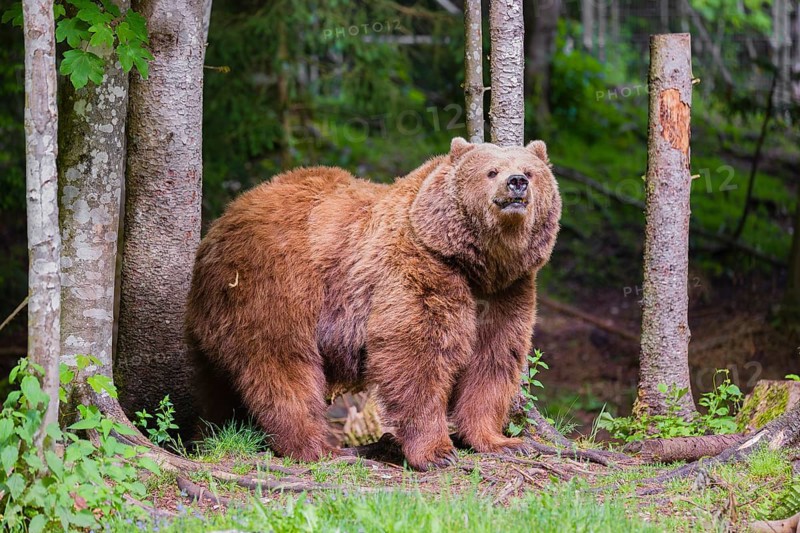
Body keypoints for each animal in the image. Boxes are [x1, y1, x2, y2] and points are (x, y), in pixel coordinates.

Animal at [185, 137, 562, 470]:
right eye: (491, 171)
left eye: (530, 172)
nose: (516, 183)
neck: (475, 265)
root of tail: (223, 219)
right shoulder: (418, 269)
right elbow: (417, 355)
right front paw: (436, 452)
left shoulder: (506, 293)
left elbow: (493, 361)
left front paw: (501, 441)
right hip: (273, 284)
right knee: (282, 364)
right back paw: (319, 447)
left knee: (219, 383)